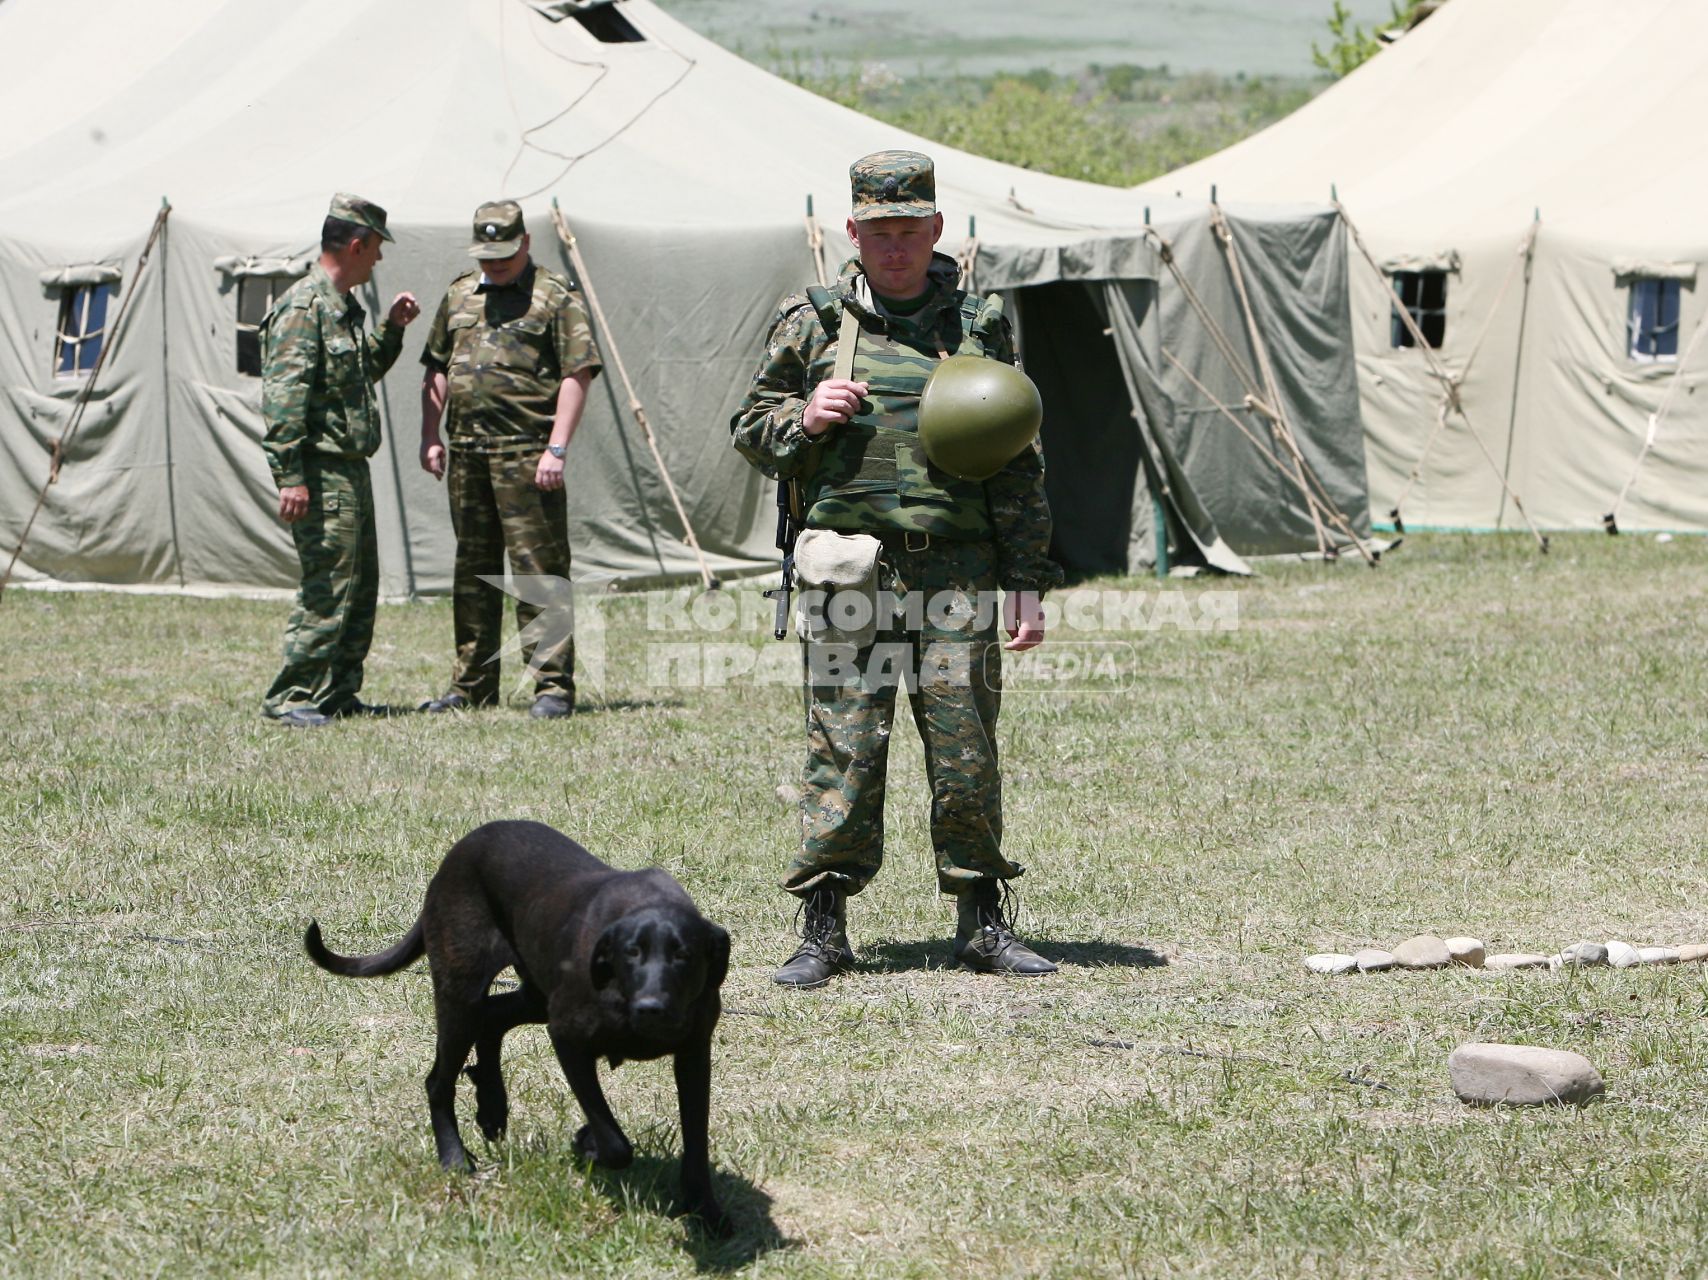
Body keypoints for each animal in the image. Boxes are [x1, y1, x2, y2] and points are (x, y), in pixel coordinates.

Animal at [304, 820, 731, 1230]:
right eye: (631, 953)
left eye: (683, 955)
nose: (650, 1009)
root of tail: (457, 853)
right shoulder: (567, 1038)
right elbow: (615, 1143)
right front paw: (588, 1143)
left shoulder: (694, 1053)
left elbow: (696, 1138)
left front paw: (707, 1212)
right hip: (461, 993)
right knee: (439, 1080)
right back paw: (454, 1158)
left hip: (534, 995)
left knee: (492, 1019)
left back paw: (492, 1105)